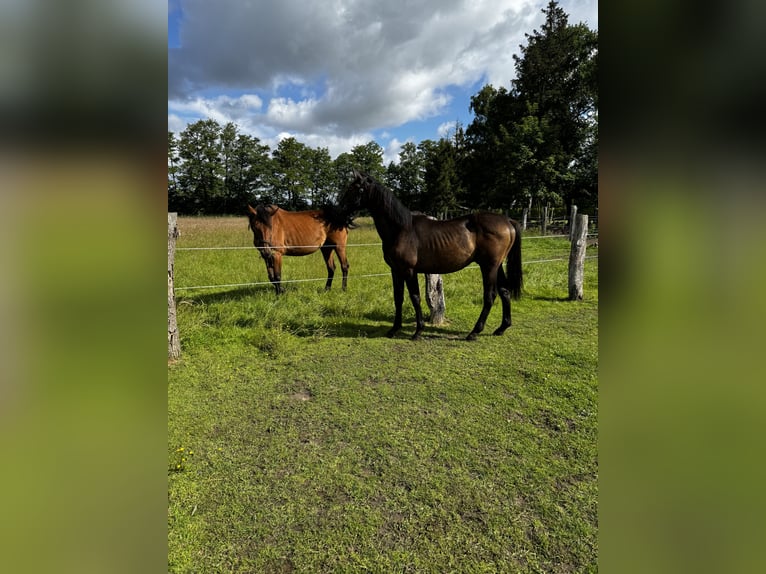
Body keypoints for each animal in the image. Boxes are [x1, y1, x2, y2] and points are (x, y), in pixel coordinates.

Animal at [337, 170, 522, 340]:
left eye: (355, 189)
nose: (340, 212)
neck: (401, 229)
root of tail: (507, 221)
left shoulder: (409, 270)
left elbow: (415, 297)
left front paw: (418, 331)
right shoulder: (395, 271)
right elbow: (398, 298)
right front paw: (394, 329)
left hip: (488, 267)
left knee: (490, 296)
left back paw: (474, 332)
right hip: (497, 266)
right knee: (505, 292)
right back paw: (501, 328)